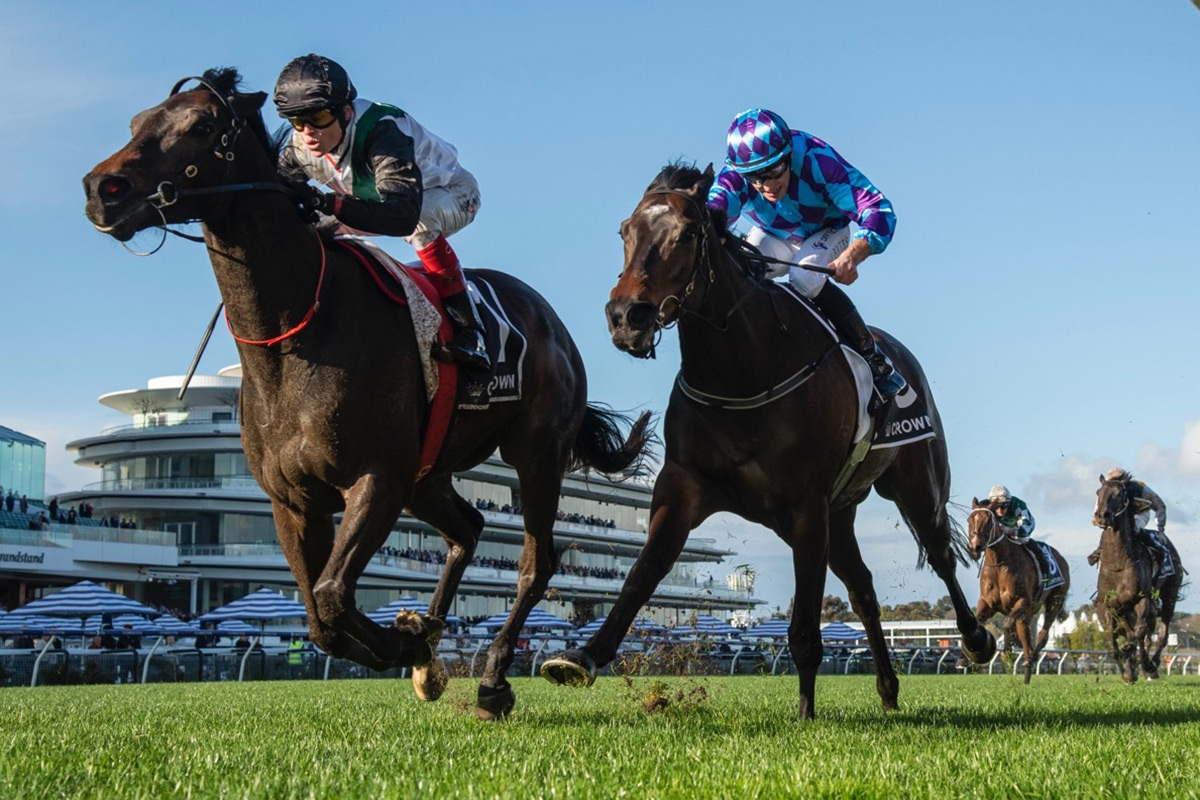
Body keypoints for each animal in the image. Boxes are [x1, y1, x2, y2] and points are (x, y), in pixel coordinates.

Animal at [82, 68, 657, 719]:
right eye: (137, 122)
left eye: (202, 125)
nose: (102, 188)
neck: (296, 332)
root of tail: (552, 323)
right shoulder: (293, 501)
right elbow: (318, 617)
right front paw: (414, 643)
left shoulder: (376, 479)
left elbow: (333, 595)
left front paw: (405, 642)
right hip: (429, 476)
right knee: (468, 530)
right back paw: (433, 641)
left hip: (535, 453)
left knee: (535, 563)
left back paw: (492, 678)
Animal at [544, 164, 993, 719]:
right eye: (625, 231)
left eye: (686, 234)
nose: (628, 316)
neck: (743, 369)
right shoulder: (685, 485)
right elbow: (643, 572)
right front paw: (582, 655)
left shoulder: (805, 504)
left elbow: (804, 629)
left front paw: (805, 714)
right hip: (838, 511)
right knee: (863, 588)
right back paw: (888, 690)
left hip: (914, 483)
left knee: (941, 556)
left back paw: (976, 639)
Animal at [964, 501, 1070, 681]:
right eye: (970, 519)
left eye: (989, 521)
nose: (975, 547)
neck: (1000, 564)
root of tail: (1062, 559)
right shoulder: (987, 603)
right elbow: (975, 624)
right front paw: (965, 657)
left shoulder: (1022, 601)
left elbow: (1007, 623)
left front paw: (1007, 654)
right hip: (1028, 612)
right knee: (1026, 635)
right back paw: (1027, 667)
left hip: (1054, 601)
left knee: (1042, 634)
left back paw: (1031, 660)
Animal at [1099, 474, 1180, 681]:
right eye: (1098, 493)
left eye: (1119, 494)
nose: (1101, 516)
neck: (1118, 562)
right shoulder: (1107, 603)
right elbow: (1113, 643)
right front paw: (1128, 672)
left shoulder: (1142, 597)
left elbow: (1139, 633)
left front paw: (1139, 663)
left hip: (1170, 594)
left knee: (1161, 633)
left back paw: (1151, 665)